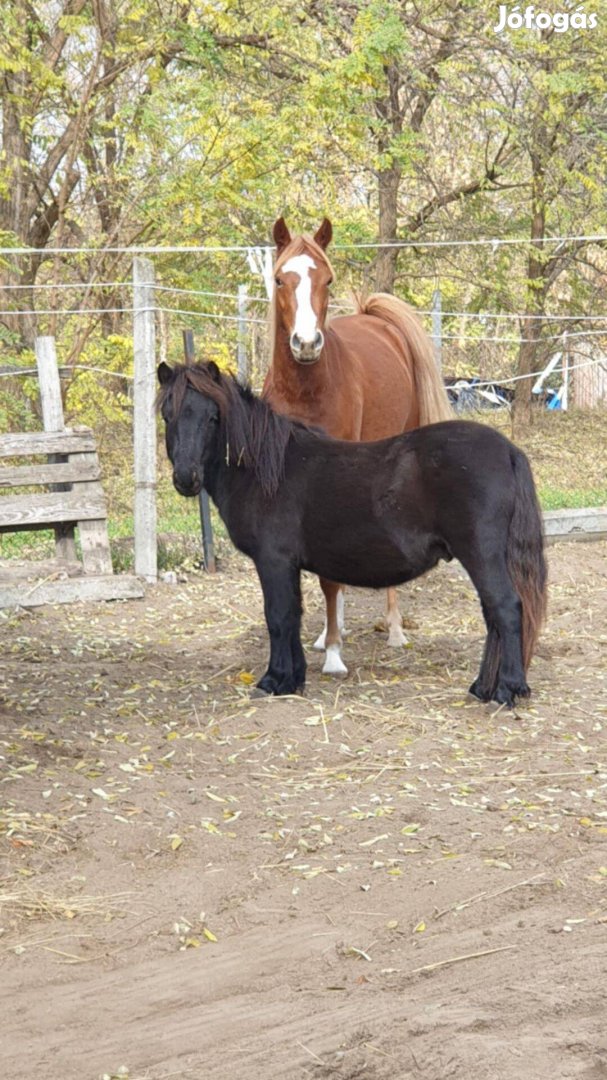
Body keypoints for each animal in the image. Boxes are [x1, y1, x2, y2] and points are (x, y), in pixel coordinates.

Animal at [155, 358, 544, 704]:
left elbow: (278, 617)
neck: (266, 471)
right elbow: (293, 616)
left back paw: (506, 690)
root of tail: (508, 450)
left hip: (480, 554)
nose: (186, 478)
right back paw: (483, 687)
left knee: (506, 608)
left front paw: (274, 680)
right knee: (494, 614)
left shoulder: (273, 561)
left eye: (213, 417)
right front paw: (294, 678)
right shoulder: (288, 565)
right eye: (167, 415)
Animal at [262, 216, 451, 678]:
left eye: (327, 279)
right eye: (279, 279)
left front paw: (334, 654)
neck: (305, 392)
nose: (306, 343)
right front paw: (319, 640)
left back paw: (394, 627)